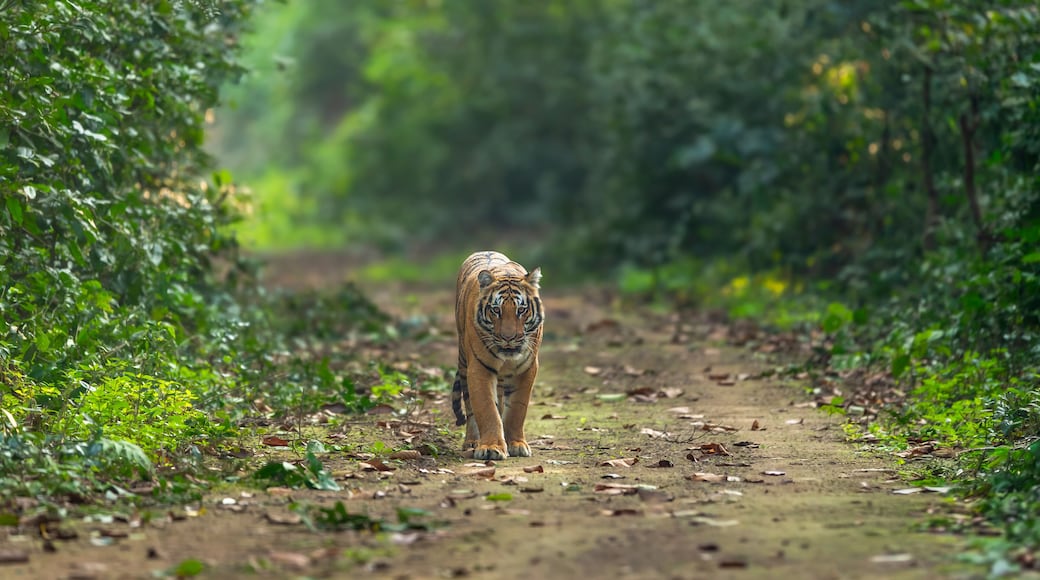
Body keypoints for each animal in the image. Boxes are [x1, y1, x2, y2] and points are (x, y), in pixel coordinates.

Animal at [450, 251, 544, 460]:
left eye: (521, 310)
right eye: (496, 310)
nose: (509, 338)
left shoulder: (527, 368)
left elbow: (517, 409)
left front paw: (516, 444)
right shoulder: (479, 368)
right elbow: (486, 408)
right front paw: (491, 447)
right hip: (464, 363)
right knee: (470, 407)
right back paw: (472, 442)